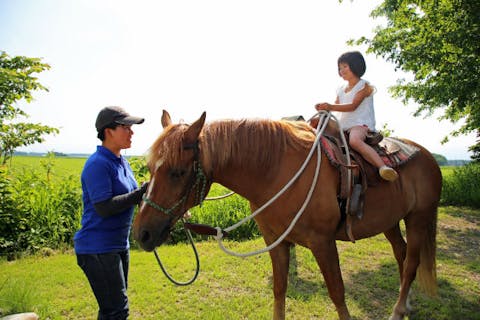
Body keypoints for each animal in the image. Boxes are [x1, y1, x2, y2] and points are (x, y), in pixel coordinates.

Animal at [133, 110, 440, 320]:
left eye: (177, 172)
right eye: (149, 168)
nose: (141, 233)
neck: (276, 171)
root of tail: (428, 155)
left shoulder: (323, 243)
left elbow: (337, 292)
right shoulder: (277, 242)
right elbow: (280, 289)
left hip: (419, 218)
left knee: (411, 262)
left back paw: (398, 309)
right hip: (391, 221)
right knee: (401, 254)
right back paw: (405, 304)